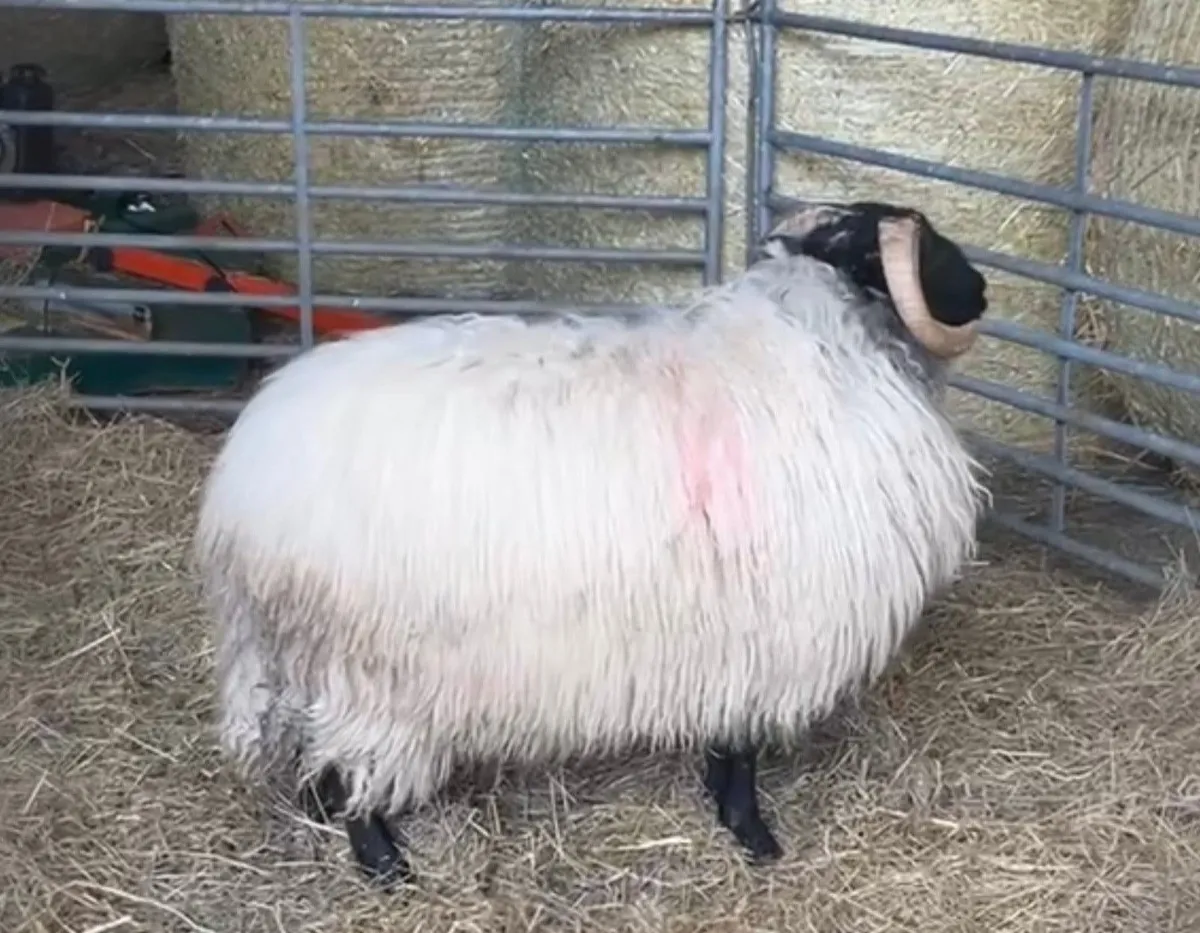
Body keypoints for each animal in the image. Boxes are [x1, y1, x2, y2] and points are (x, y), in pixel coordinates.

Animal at [192, 198, 991, 888]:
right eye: (927, 243)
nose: (983, 289)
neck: (827, 344)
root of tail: (244, 495)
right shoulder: (766, 631)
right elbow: (740, 749)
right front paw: (752, 834)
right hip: (370, 673)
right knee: (345, 764)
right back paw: (385, 863)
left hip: (298, 660)